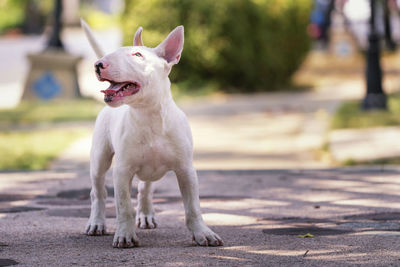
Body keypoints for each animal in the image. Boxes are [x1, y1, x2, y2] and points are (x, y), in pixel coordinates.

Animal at [81, 19, 223, 250]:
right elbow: (123, 206)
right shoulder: (122, 171)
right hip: (100, 157)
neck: (149, 117)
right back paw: (96, 223)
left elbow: (193, 206)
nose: (98, 64)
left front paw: (203, 233)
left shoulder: (186, 170)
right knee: (98, 192)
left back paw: (146, 214)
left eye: (138, 55)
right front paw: (125, 235)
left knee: (145, 188)